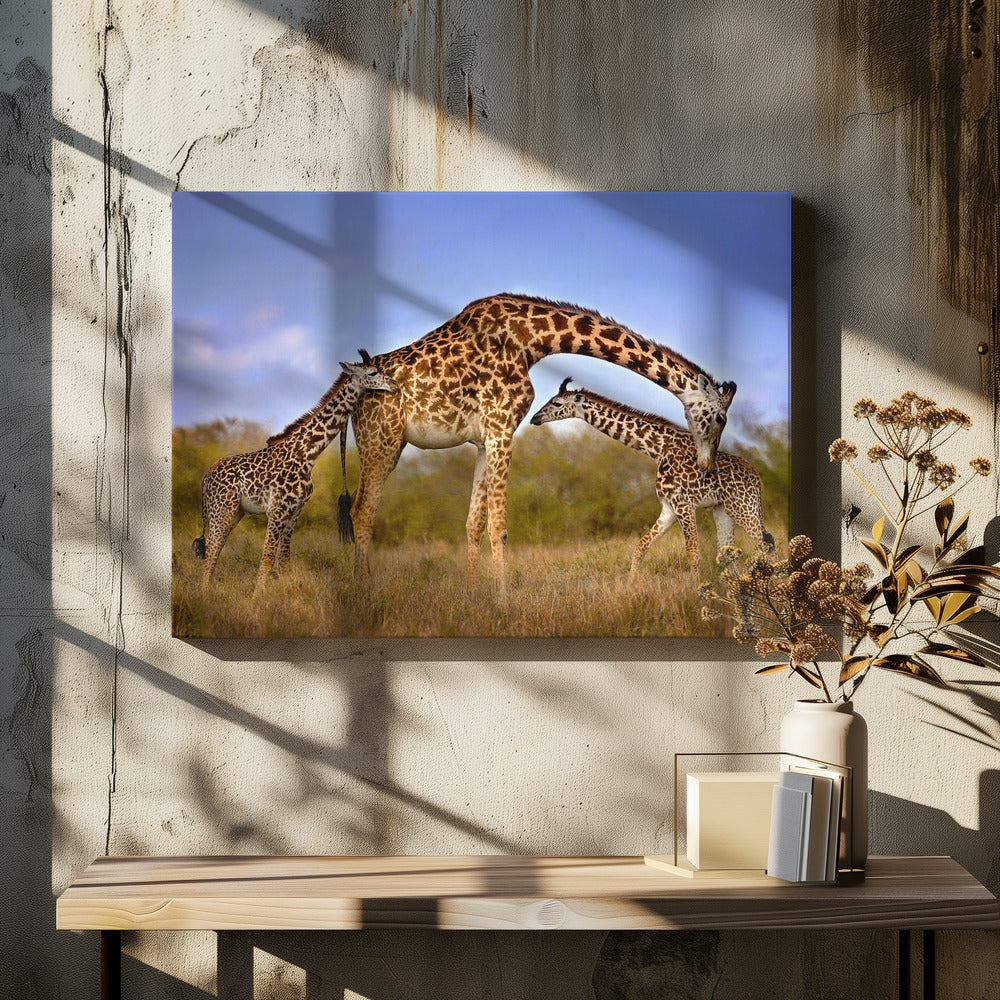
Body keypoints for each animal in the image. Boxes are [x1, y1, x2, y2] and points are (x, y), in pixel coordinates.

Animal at [192, 359, 398, 593]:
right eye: (373, 372)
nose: (395, 385)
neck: (307, 453)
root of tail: (206, 478)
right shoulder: (277, 509)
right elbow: (268, 557)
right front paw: (256, 597)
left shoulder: (295, 511)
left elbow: (284, 559)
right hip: (222, 510)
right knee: (211, 551)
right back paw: (204, 595)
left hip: (234, 512)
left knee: (214, 551)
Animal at [347, 293, 737, 597]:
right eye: (720, 418)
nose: (707, 466)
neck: (532, 338)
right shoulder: (502, 425)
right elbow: (499, 526)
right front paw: (502, 601)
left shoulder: (484, 439)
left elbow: (474, 524)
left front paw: (472, 596)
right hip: (382, 440)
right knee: (362, 511)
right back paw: (364, 596)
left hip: (385, 443)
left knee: (359, 509)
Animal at [530, 379, 774, 575]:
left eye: (557, 403)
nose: (534, 418)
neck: (656, 449)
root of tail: (757, 478)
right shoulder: (668, 508)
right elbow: (641, 546)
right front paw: (631, 587)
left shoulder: (683, 504)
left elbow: (693, 553)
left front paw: (696, 594)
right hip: (723, 511)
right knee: (730, 552)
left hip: (743, 507)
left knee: (765, 544)